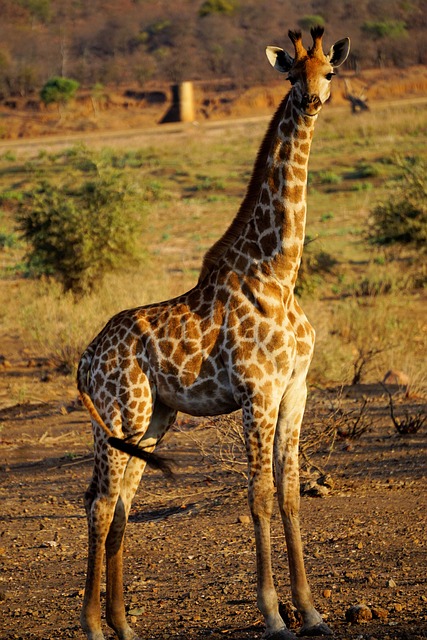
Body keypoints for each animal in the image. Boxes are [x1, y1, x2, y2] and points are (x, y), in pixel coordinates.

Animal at [78, 27, 350, 640]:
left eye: (329, 73)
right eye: (291, 74)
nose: (312, 101)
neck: (279, 273)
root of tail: (84, 360)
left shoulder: (296, 390)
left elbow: (291, 493)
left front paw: (312, 613)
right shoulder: (258, 393)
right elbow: (259, 496)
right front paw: (274, 615)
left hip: (153, 418)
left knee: (121, 501)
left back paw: (124, 625)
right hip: (120, 413)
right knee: (100, 502)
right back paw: (93, 626)